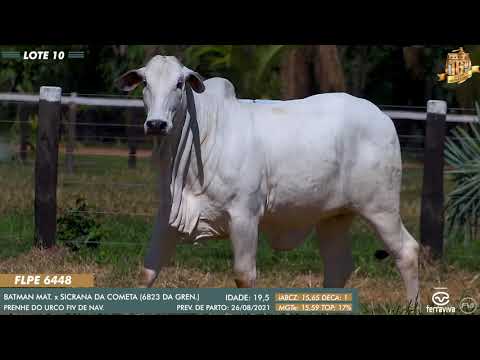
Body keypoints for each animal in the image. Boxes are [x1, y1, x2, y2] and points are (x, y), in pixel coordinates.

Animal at [117, 54, 420, 302]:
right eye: (145, 82)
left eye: (180, 83)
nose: (156, 124)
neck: (202, 133)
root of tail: (382, 117)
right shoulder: (167, 215)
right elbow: (147, 271)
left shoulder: (244, 216)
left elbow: (244, 276)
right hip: (332, 216)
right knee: (338, 267)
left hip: (381, 207)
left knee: (407, 251)